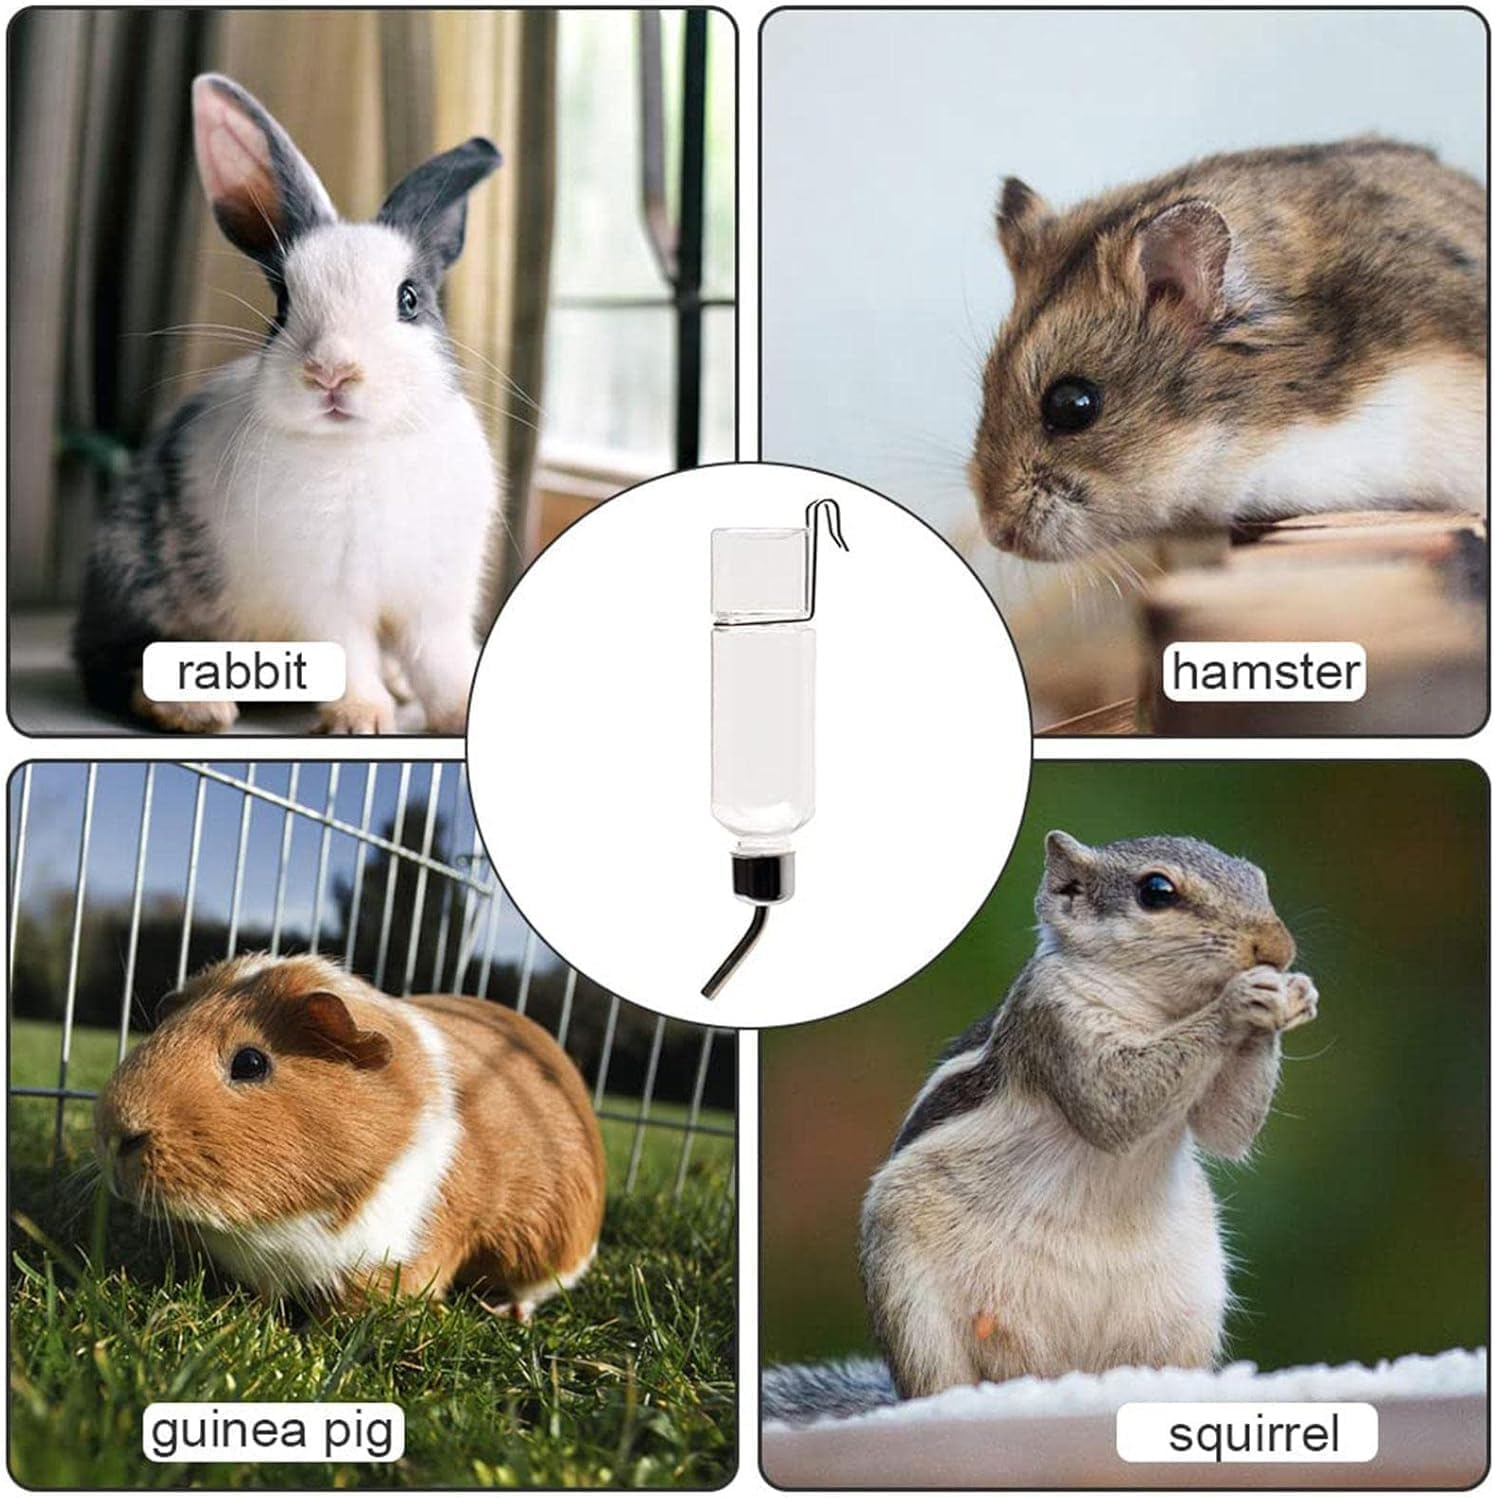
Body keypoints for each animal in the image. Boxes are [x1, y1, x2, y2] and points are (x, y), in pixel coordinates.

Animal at [74, 73, 505, 734]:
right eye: (281, 305)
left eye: (409, 299)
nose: (331, 371)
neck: (362, 446)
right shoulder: (325, 596)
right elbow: (349, 652)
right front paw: (360, 719)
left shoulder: (436, 598)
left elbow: (443, 660)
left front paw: (458, 710)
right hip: (138, 580)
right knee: (118, 664)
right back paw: (200, 707)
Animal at [94, 954, 606, 1314]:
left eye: (250, 1062)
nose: (116, 1134)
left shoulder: (390, 1260)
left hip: (552, 1246)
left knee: (538, 1288)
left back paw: (505, 1312)